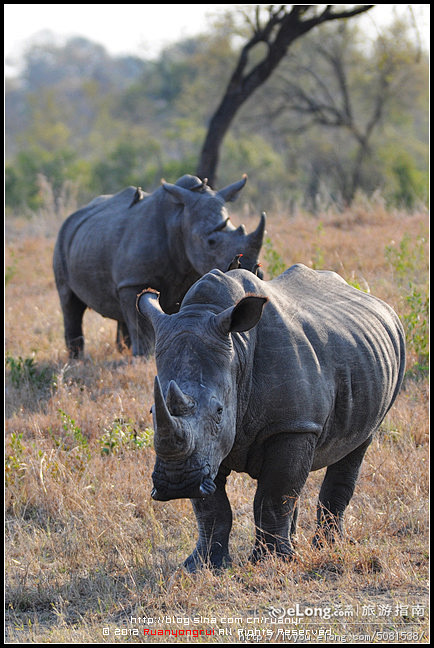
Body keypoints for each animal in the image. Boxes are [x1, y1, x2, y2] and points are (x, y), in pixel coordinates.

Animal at [53, 172, 264, 356]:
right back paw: (77, 358)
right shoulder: (134, 281)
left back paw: (121, 350)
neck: (180, 219)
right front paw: (143, 357)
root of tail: (72, 216)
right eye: (211, 242)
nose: (251, 273)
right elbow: (140, 325)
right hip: (62, 239)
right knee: (69, 302)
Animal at [137, 264, 406, 572]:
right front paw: (203, 566)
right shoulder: (206, 453)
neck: (238, 350)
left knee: (357, 446)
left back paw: (327, 547)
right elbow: (211, 507)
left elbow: (273, 495)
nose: (177, 483)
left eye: (219, 411)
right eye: (152, 412)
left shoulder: (291, 426)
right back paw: (297, 545)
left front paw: (271, 562)